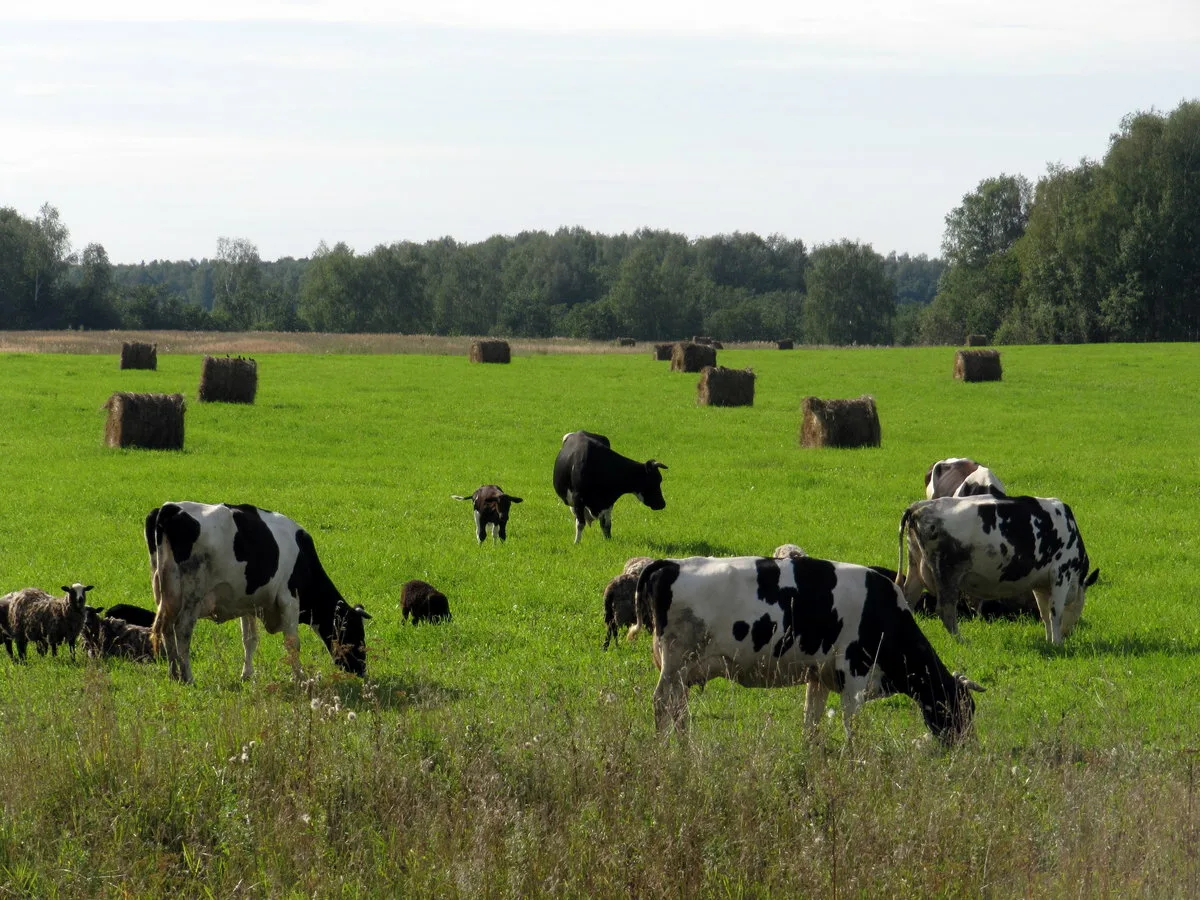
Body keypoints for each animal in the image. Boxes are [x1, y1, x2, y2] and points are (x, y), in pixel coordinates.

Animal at [144, 504, 369, 686]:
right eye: (357, 633)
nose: (362, 671)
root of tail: (170, 508)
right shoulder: (289, 599)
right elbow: (292, 643)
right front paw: (300, 678)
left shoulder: (247, 603)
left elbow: (250, 640)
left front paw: (246, 675)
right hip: (193, 594)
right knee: (182, 631)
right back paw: (188, 677)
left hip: (165, 594)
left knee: (166, 630)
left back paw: (174, 675)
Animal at [628, 556, 984, 748]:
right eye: (962, 710)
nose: (966, 748)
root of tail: (671, 564)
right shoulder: (854, 673)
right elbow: (851, 722)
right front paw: (854, 758)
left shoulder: (820, 676)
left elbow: (811, 719)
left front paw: (810, 754)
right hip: (675, 664)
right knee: (662, 704)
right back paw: (664, 749)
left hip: (682, 671)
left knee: (679, 710)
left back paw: (685, 749)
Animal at [897, 494, 1094, 648]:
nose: (1069, 634)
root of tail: (919, 507)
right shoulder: (1062, 573)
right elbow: (1056, 613)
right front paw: (1057, 644)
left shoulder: (1040, 584)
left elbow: (1044, 614)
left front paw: (1049, 641)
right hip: (947, 573)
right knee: (946, 610)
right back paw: (962, 641)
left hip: (915, 568)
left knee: (907, 600)